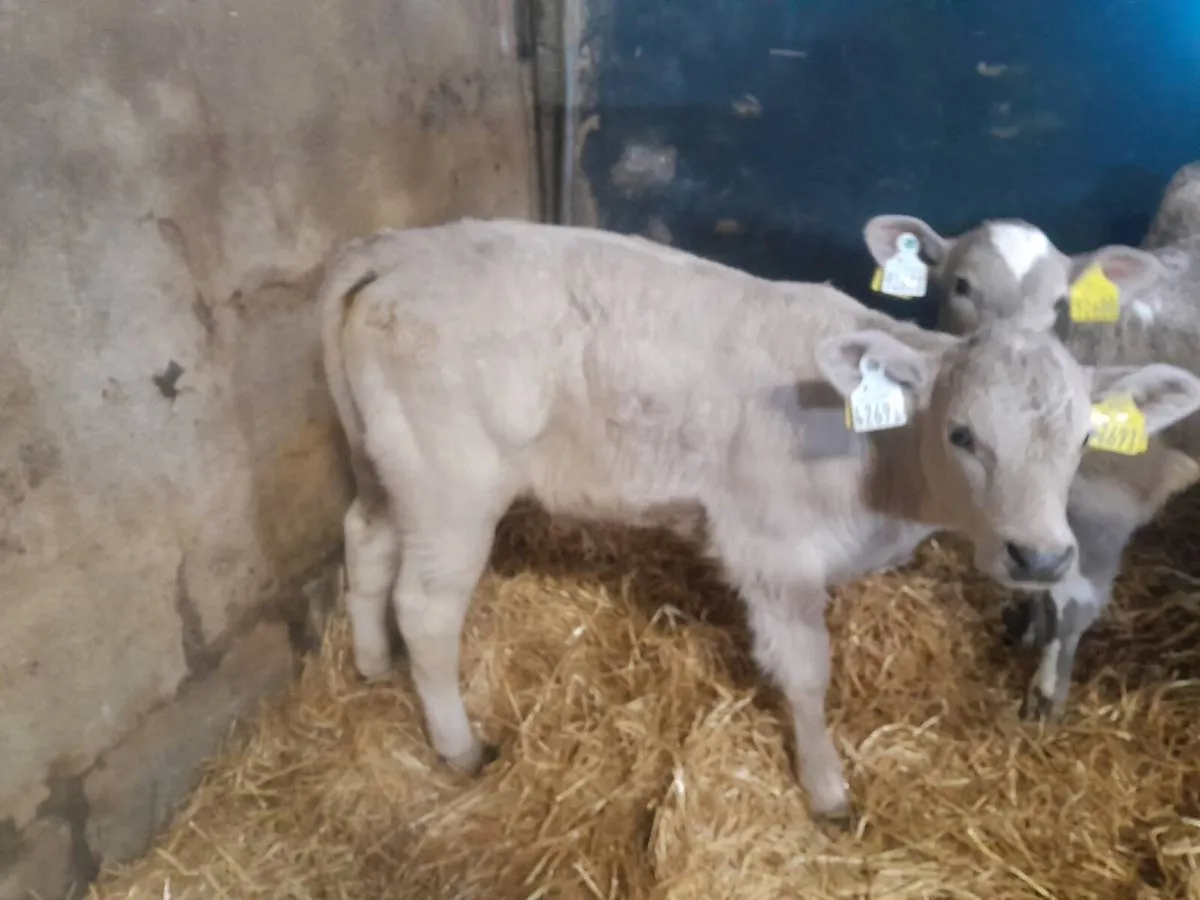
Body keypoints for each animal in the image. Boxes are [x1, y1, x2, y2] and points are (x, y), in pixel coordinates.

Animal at [316, 217, 1200, 823]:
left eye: (1084, 437)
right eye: (962, 433)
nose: (1042, 557)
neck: (878, 455)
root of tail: (402, 248)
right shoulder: (773, 552)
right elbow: (806, 674)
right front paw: (827, 790)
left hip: (388, 463)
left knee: (365, 538)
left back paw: (371, 663)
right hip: (452, 483)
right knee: (426, 608)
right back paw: (459, 744)